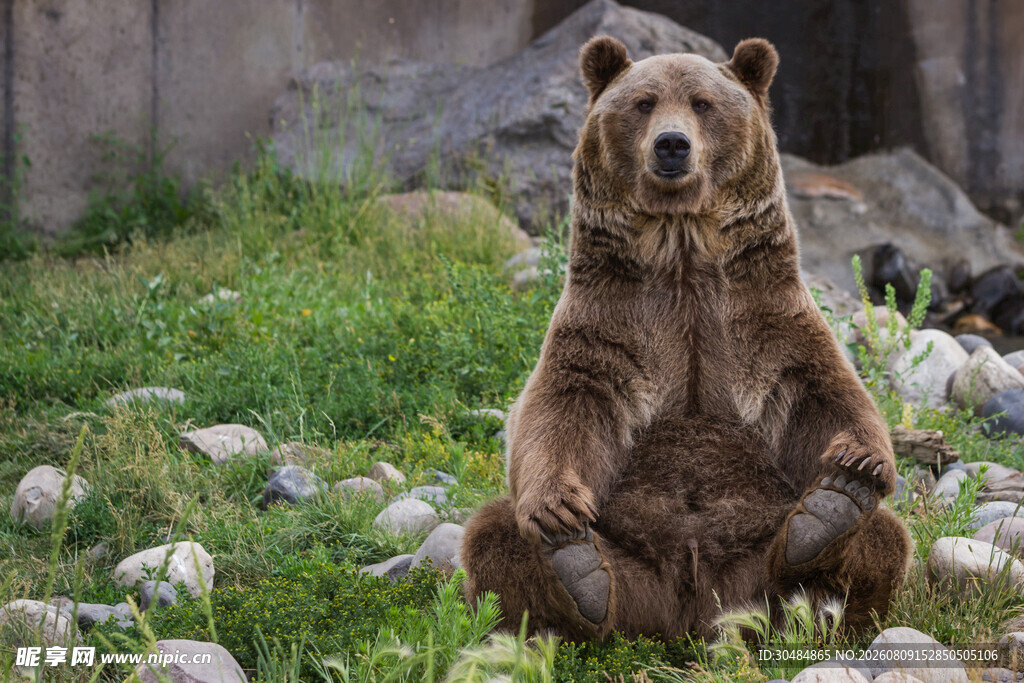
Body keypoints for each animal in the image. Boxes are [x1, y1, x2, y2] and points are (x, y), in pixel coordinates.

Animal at [459, 35, 912, 643]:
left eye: (702, 103)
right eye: (644, 102)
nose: (671, 144)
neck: (682, 251)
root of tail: (692, 611)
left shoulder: (764, 318)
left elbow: (824, 392)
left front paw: (859, 462)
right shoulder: (610, 322)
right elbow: (561, 406)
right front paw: (556, 510)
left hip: (754, 562)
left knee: (883, 538)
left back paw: (828, 517)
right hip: (632, 566)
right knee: (492, 534)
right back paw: (578, 575)